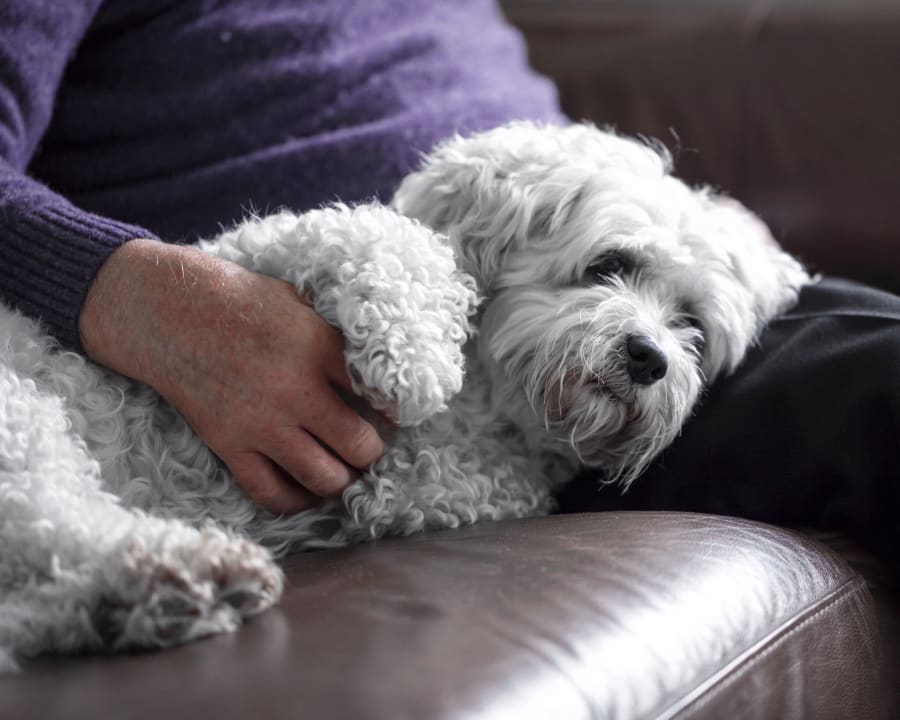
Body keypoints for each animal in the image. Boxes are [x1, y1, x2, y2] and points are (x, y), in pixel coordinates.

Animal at [0, 121, 808, 668]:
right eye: (609, 264)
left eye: (690, 325)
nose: (650, 358)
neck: (487, 403)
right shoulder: (241, 266)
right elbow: (379, 235)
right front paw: (415, 359)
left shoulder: (464, 481)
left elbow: (442, 484)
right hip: (23, 421)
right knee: (59, 520)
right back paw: (180, 573)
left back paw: (157, 595)